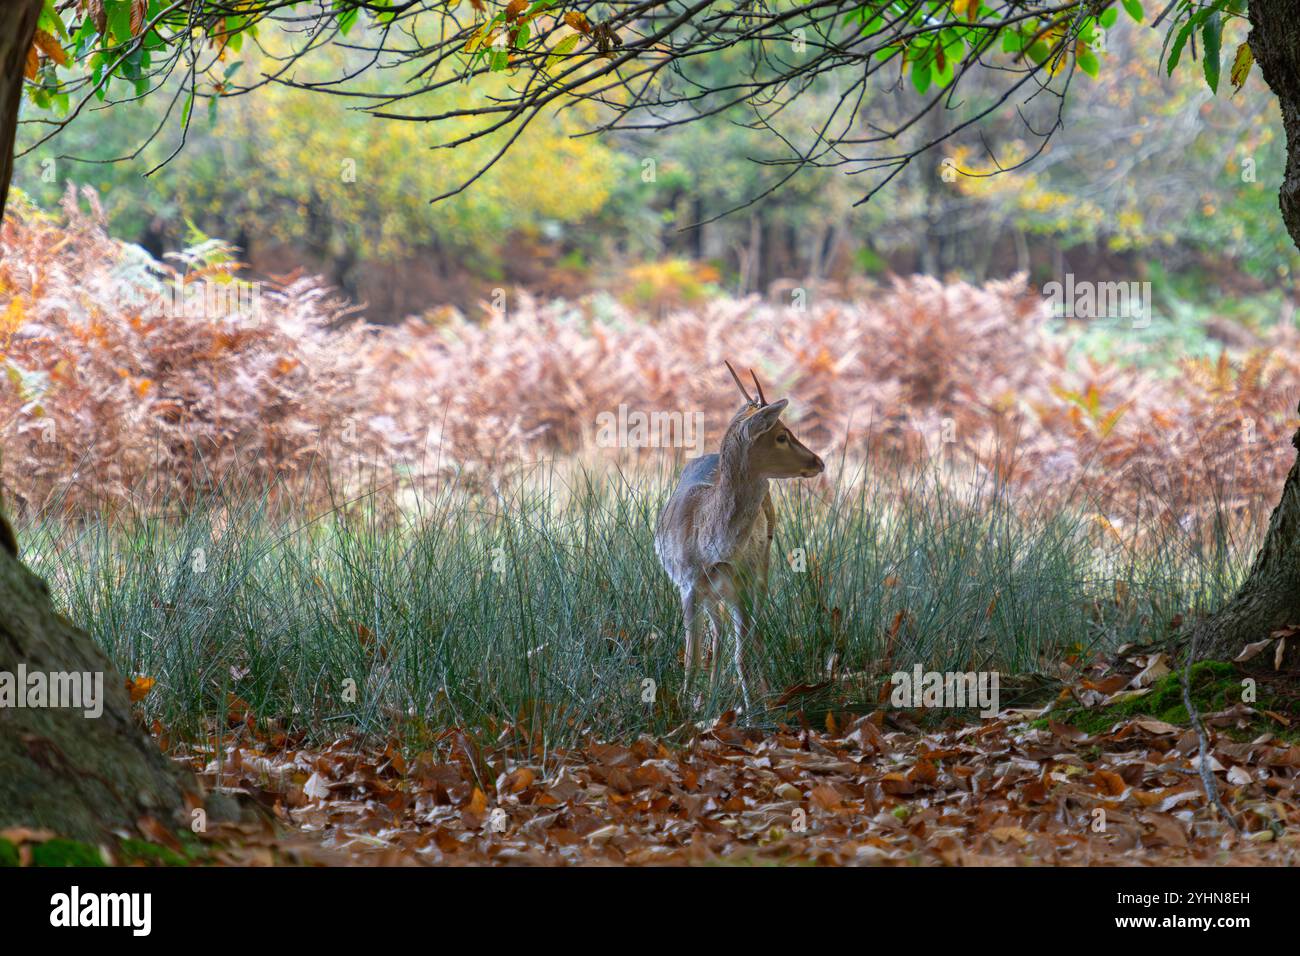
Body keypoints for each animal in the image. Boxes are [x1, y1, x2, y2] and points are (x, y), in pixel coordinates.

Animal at [655, 361, 826, 712]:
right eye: (781, 435)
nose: (819, 461)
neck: (709, 543)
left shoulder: (742, 583)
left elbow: (741, 654)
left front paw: (752, 711)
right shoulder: (687, 585)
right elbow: (692, 658)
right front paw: (684, 708)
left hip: (762, 565)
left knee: (751, 633)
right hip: (711, 593)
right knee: (717, 633)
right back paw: (709, 695)